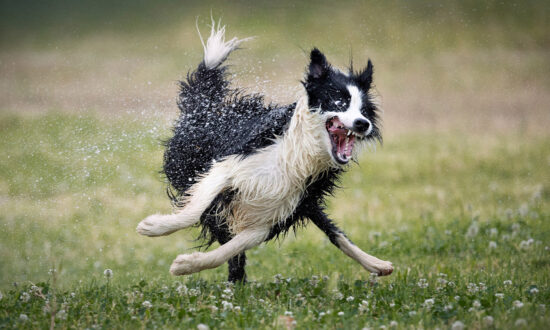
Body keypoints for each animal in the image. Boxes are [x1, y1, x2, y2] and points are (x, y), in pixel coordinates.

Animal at [140, 20, 394, 282]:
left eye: (364, 110)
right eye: (339, 102)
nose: (363, 124)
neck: (299, 154)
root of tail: (207, 107)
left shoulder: (275, 213)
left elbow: (232, 247)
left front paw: (187, 264)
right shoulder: (228, 165)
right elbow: (196, 208)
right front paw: (154, 226)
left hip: (302, 203)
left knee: (333, 232)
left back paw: (377, 264)